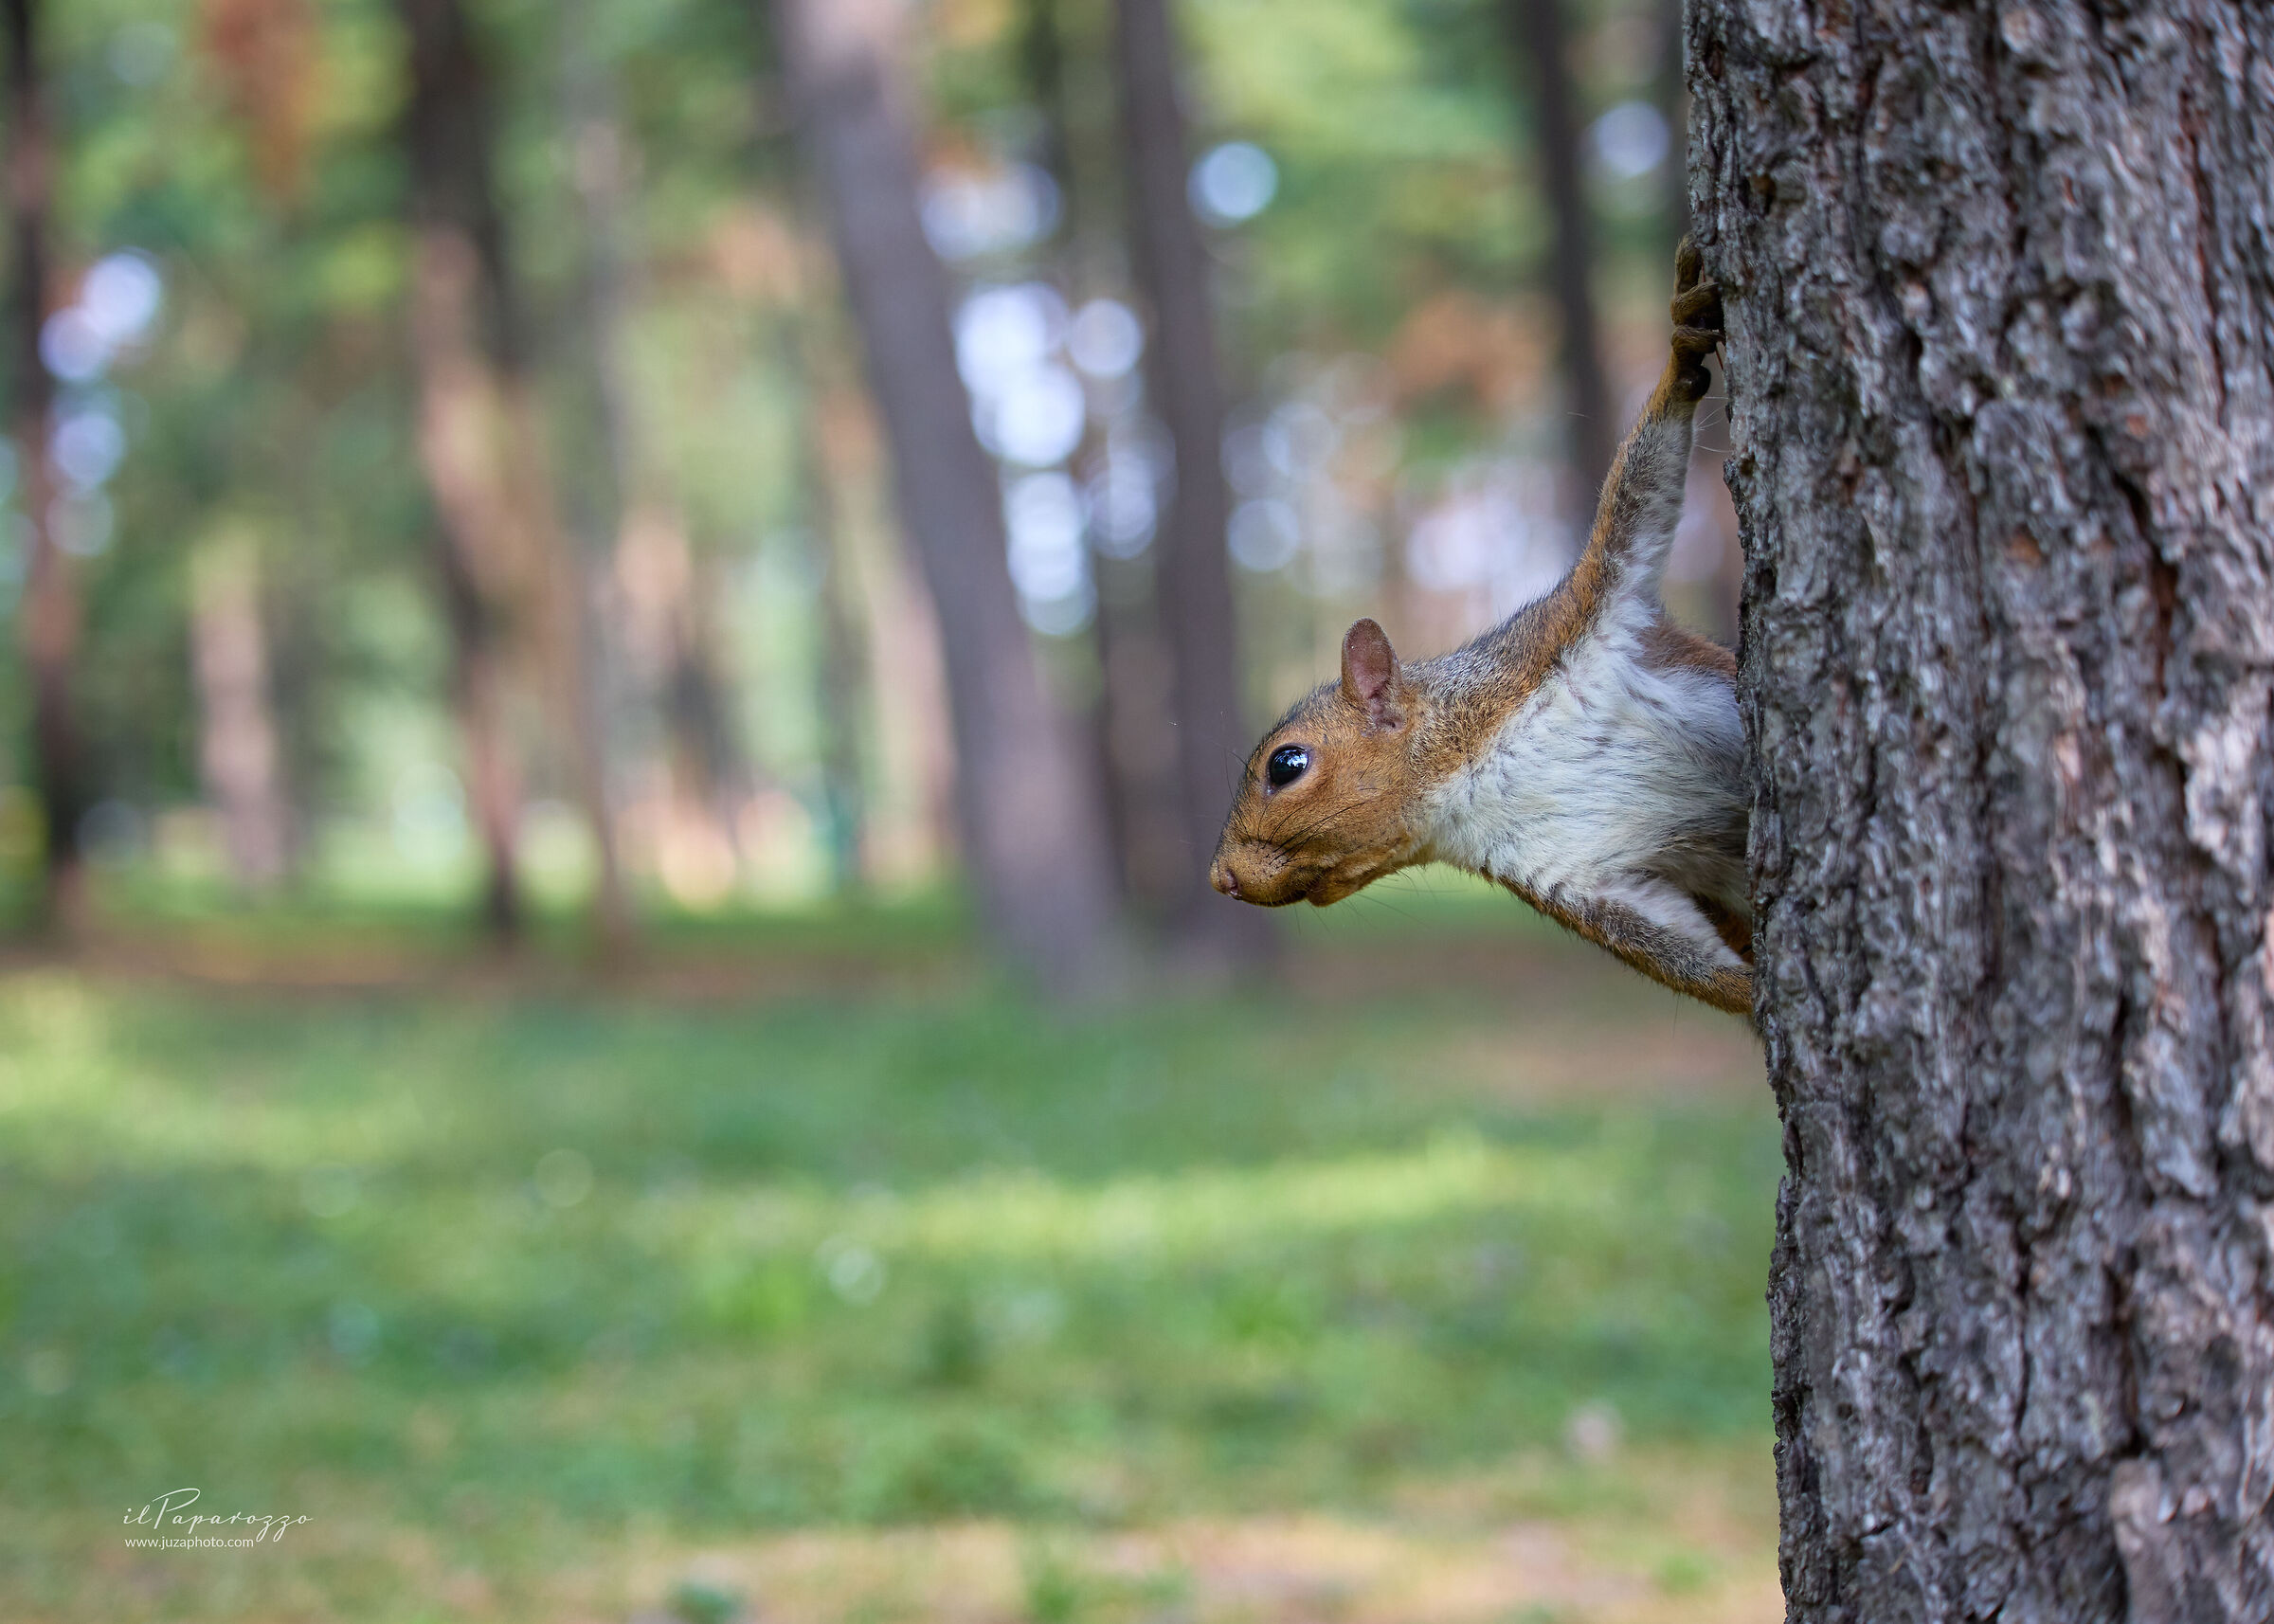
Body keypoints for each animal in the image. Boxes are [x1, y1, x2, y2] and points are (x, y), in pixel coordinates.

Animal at [1208, 240, 1751, 1016]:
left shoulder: (1567, 626)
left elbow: (1637, 492)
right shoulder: (1573, 877)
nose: (1219, 877)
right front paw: (1762, 993)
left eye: (1286, 765)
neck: (1469, 782)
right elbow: (1684, 959)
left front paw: (1679, 357)